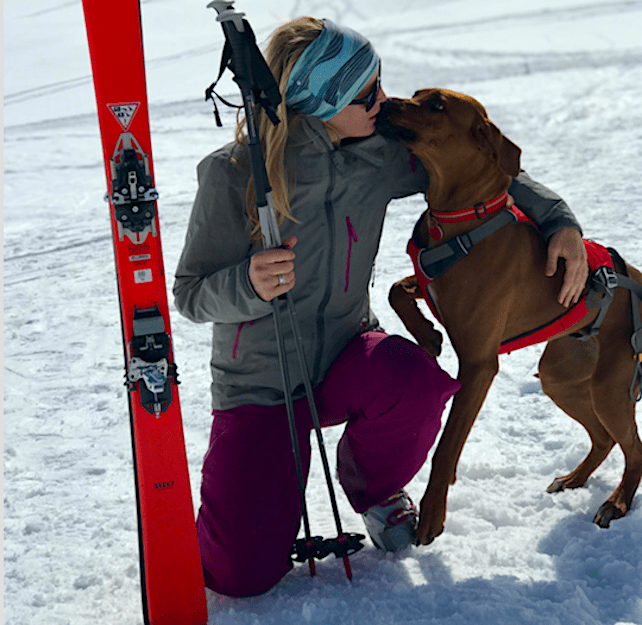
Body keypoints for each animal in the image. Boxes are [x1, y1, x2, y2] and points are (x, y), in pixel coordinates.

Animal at [376, 89, 640, 544]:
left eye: (436, 105)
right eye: (415, 96)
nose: (385, 102)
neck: (459, 217)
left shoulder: (479, 364)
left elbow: (446, 447)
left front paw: (431, 516)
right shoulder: (429, 282)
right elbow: (397, 289)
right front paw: (427, 336)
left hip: (611, 387)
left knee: (634, 449)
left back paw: (618, 502)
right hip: (561, 377)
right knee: (604, 438)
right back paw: (574, 479)